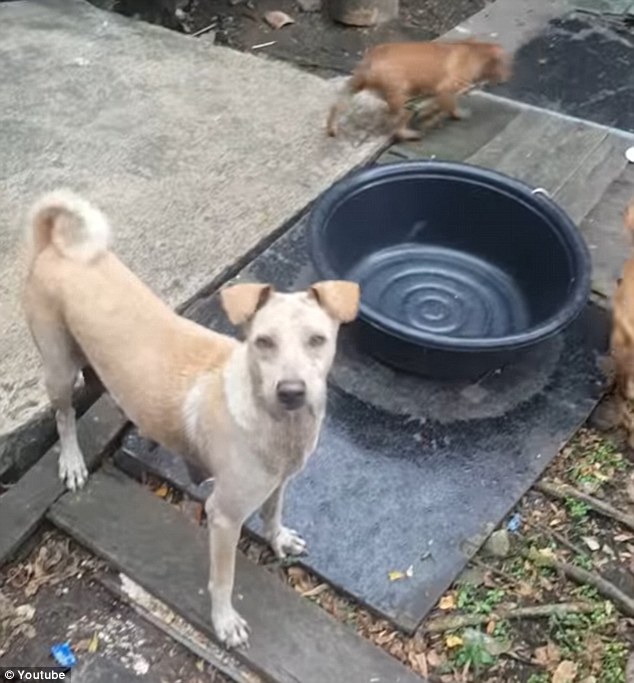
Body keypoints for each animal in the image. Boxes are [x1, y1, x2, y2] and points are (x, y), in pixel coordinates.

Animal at [22, 191, 358, 648]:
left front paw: (279, 540)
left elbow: (272, 515)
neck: (275, 424)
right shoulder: (223, 516)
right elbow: (223, 579)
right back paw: (72, 462)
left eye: (317, 340)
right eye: (263, 342)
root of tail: (53, 245)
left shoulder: (278, 483)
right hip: (57, 366)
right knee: (63, 414)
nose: (291, 391)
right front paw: (224, 622)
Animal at [326, 39, 508, 141]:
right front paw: (454, 115)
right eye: (505, 63)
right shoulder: (446, 88)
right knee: (397, 128)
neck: (474, 50)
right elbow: (450, 106)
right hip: (404, 101)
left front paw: (432, 115)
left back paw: (332, 127)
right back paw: (410, 133)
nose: (507, 77)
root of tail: (370, 61)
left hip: (357, 87)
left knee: (337, 105)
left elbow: (439, 105)